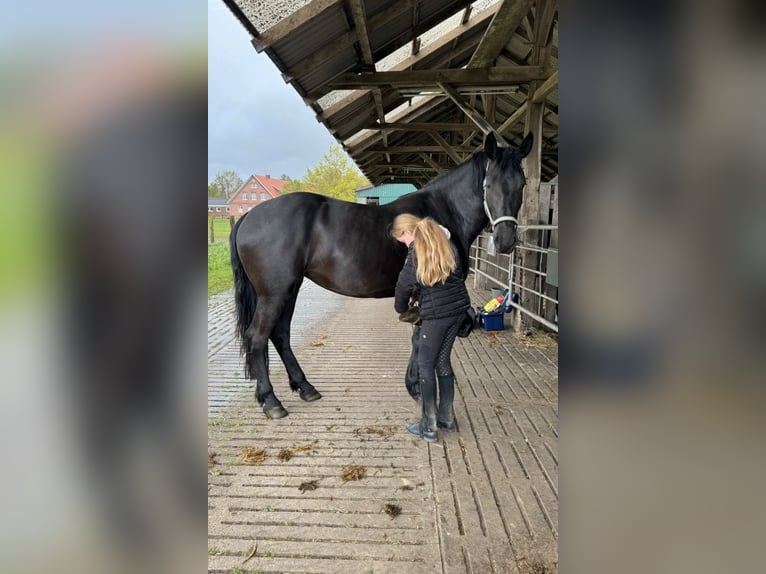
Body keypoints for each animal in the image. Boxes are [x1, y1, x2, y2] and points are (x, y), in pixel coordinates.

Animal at [230, 132, 533, 419]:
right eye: (489, 185)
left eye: (521, 184)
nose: (506, 241)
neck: (441, 213)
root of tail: (248, 216)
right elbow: (419, 338)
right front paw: (417, 388)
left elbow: (417, 336)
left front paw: (414, 385)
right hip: (275, 293)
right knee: (258, 336)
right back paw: (271, 401)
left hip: (289, 289)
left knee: (280, 334)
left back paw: (305, 388)